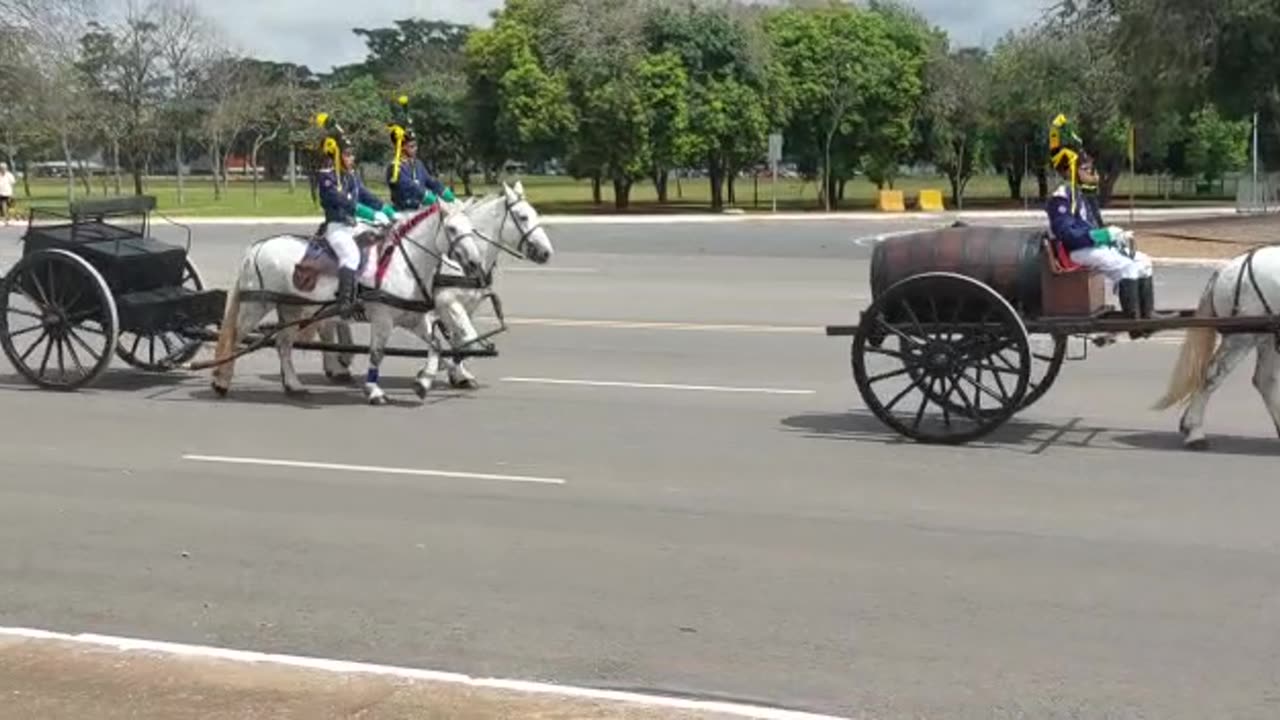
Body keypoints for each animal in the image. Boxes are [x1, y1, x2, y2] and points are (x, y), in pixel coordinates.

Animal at [207, 203, 486, 404]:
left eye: (472, 227)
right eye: (452, 229)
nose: (475, 263)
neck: (402, 265)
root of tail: (257, 247)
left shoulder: (414, 319)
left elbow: (437, 346)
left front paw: (423, 382)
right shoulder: (383, 319)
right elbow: (377, 353)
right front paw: (374, 391)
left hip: (291, 308)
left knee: (283, 344)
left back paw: (294, 385)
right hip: (256, 306)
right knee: (234, 338)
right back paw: (221, 381)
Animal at [1157, 245, 1280, 448]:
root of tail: (1226, 269)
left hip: (1265, 335)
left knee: (1265, 381)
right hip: (1242, 337)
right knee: (1211, 376)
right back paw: (1195, 433)